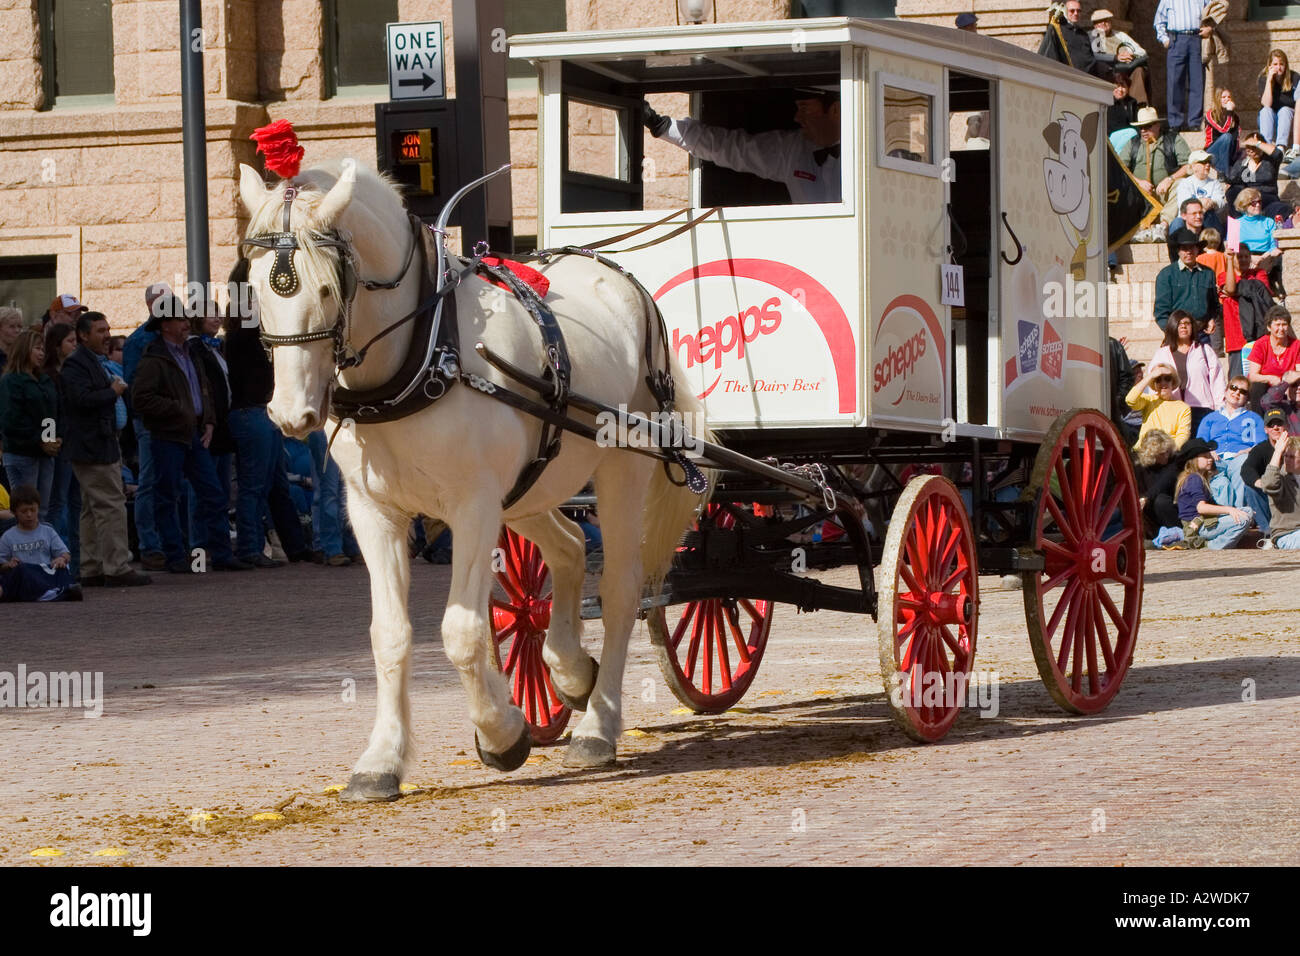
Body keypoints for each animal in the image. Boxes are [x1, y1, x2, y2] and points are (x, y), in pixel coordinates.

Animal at [236, 159, 708, 802]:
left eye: (328, 288)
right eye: (257, 289)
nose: (290, 415)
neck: (429, 349)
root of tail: (623, 279)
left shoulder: (474, 507)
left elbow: (461, 631)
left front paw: (502, 732)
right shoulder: (374, 513)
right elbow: (390, 634)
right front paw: (382, 759)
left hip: (621, 468)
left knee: (620, 590)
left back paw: (598, 725)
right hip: (531, 488)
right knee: (567, 549)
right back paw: (569, 669)